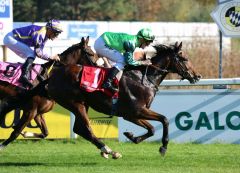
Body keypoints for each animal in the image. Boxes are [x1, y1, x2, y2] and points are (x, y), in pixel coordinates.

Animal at [44, 41, 201, 157]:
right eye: (184, 59)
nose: (197, 76)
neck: (145, 79)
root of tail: (52, 77)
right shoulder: (137, 110)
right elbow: (164, 119)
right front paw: (163, 147)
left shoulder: (131, 115)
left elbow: (151, 129)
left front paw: (132, 136)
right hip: (76, 104)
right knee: (86, 129)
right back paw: (108, 150)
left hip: (83, 104)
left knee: (79, 129)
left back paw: (108, 150)